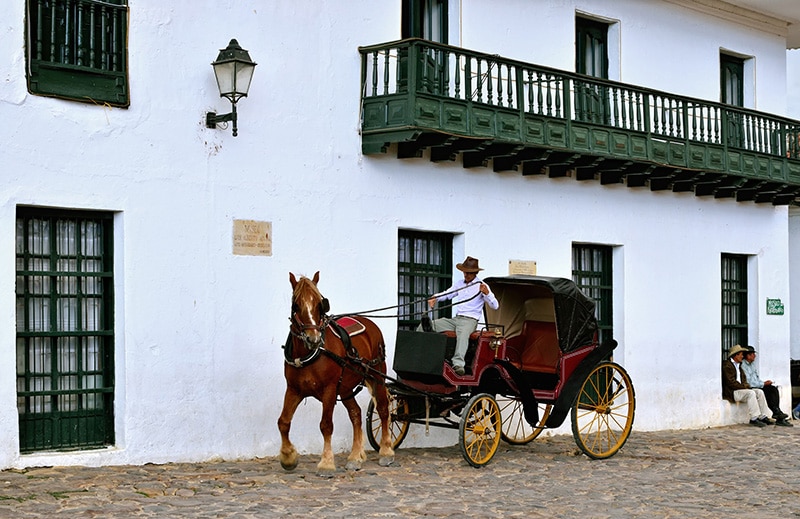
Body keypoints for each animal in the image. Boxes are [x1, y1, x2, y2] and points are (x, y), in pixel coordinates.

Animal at [278, 272, 396, 480]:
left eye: (320, 304)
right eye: (296, 305)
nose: (313, 338)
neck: (312, 352)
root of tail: (369, 323)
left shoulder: (330, 390)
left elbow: (326, 425)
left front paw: (326, 463)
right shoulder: (294, 389)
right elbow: (283, 422)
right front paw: (288, 457)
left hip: (376, 376)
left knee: (382, 409)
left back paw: (386, 452)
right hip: (346, 387)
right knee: (356, 414)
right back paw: (355, 457)